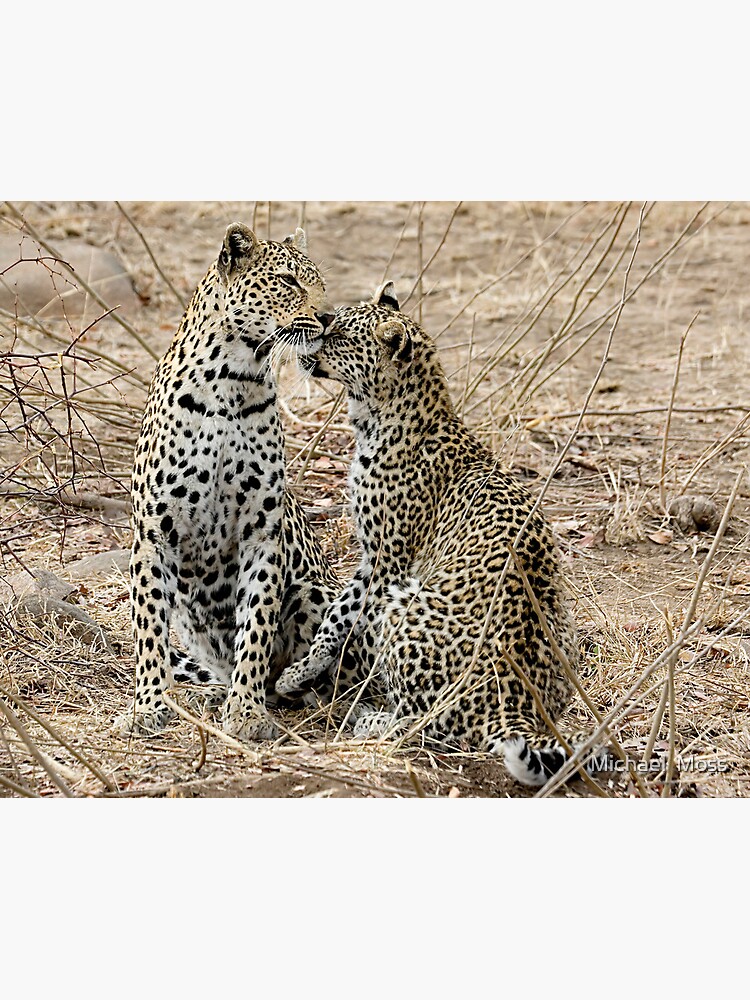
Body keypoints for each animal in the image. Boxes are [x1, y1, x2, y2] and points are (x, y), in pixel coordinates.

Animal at [116, 227, 340, 744]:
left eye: (320, 282)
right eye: (287, 280)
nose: (328, 318)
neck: (233, 382)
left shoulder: (262, 532)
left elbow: (255, 625)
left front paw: (246, 711)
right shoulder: (153, 533)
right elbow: (149, 630)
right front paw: (149, 705)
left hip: (317, 591)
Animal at [276, 286, 600, 784]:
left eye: (340, 334)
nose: (313, 333)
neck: (382, 416)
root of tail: (516, 707)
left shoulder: (385, 561)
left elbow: (342, 618)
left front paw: (303, 673)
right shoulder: (372, 559)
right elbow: (337, 611)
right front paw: (308, 669)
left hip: (406, 602)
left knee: (420, 722)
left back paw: (367, 717)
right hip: (564, 639)